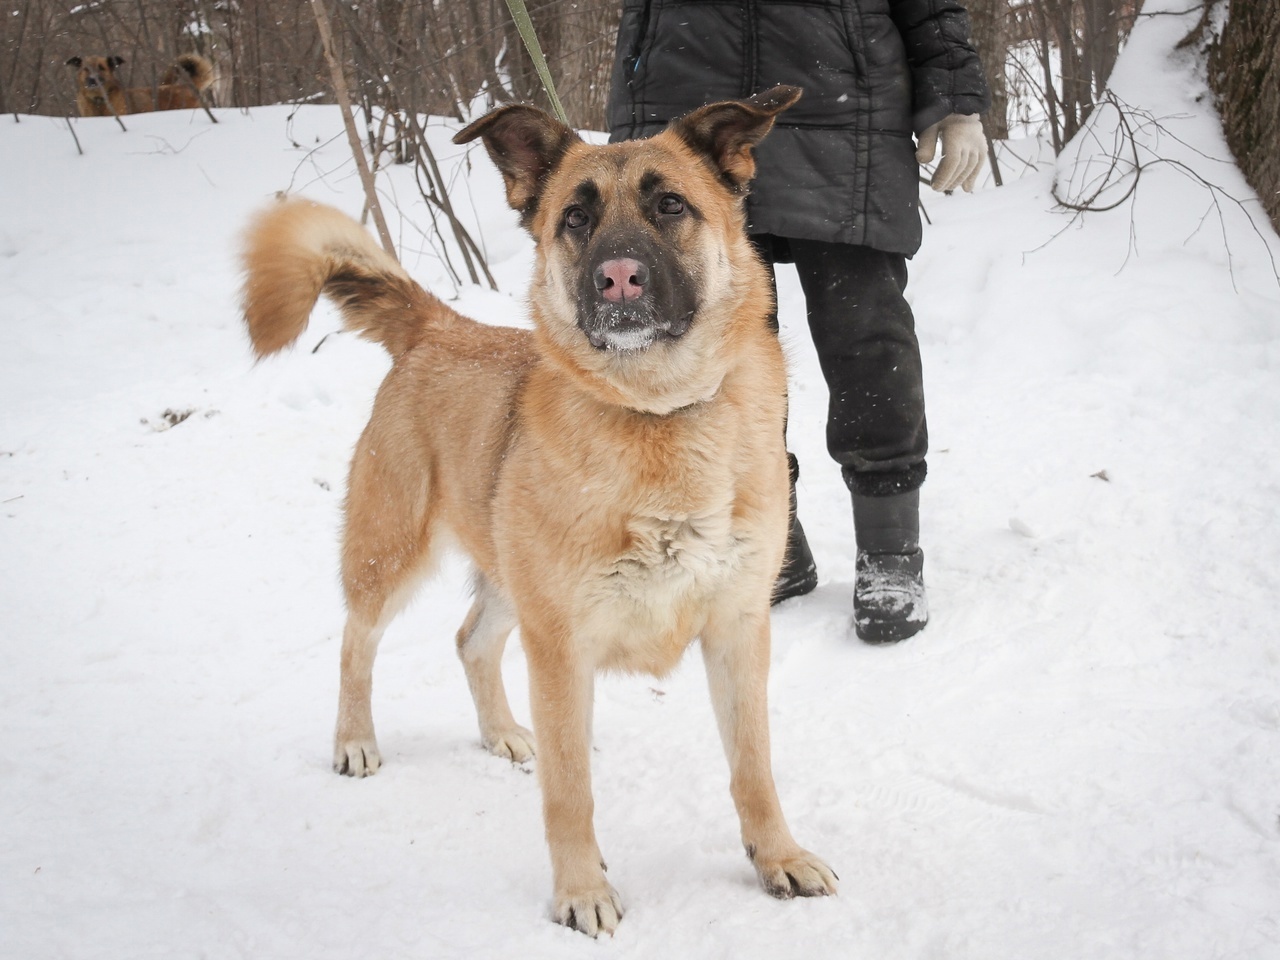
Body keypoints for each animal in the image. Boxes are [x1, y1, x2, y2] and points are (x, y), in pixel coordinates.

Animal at [240, 86, 839, 936]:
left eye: (670, 204)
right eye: (575, 218)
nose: (618, 278)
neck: (657, 414)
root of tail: (440, 324)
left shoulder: (736, 629)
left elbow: (753, 768)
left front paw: (777, 857)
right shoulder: (560, 648)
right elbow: (570, 790)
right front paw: (582, 892)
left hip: (507, 576)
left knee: (469, 641)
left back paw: (500, 733)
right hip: (394, 555)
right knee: (357, 643)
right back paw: (355, 739)